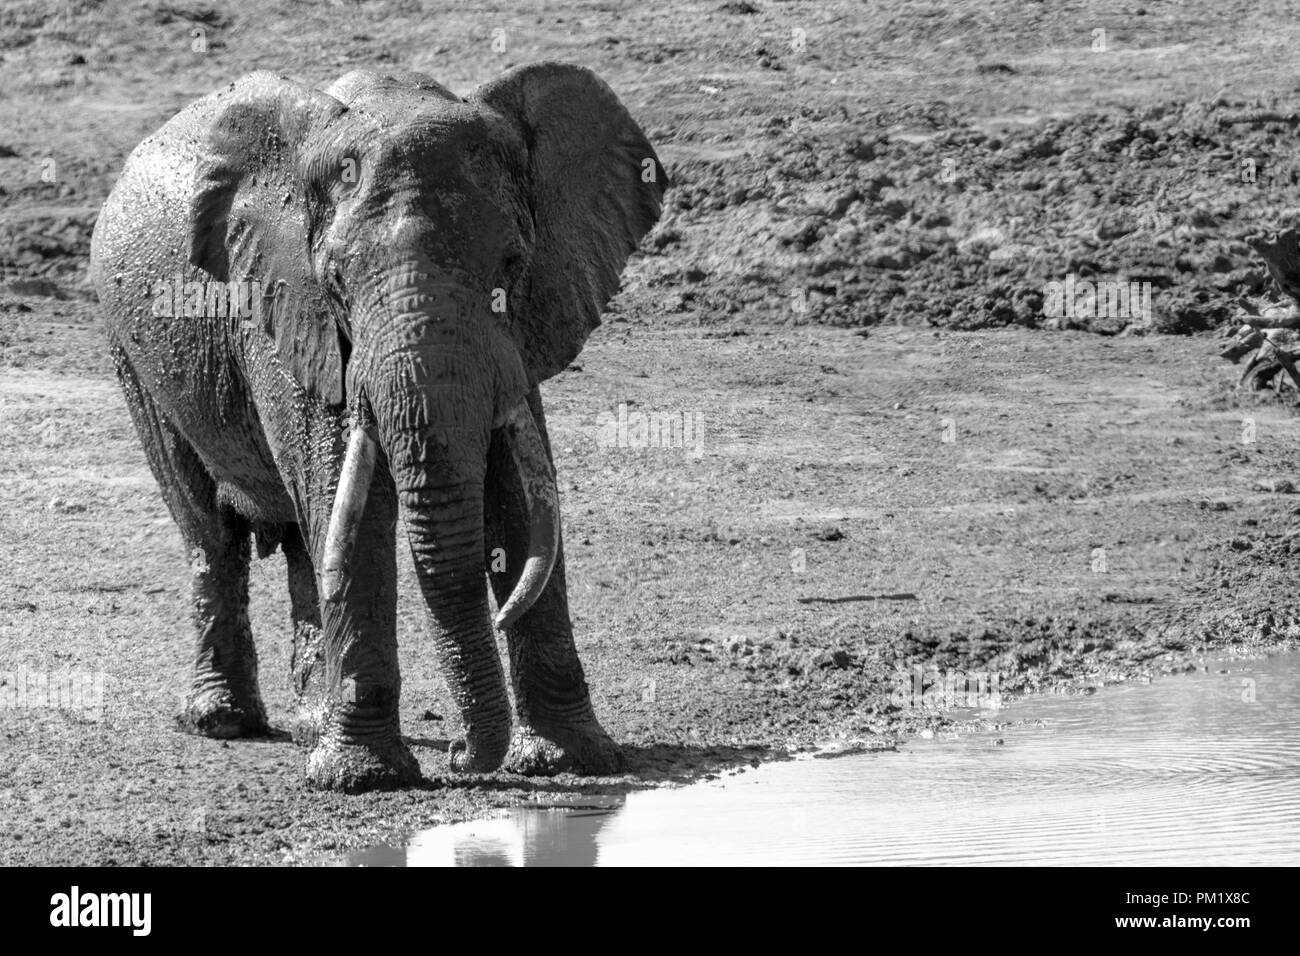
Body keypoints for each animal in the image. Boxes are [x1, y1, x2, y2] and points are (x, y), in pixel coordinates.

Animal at [89, 61, 670, 790]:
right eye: (337, 278)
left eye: (512, 265)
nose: (460, 755)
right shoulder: (288, 314)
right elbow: (355, 514)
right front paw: (362, 778)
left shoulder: (518, 339)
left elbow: (519, 503)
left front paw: (573, 761)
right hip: (132, 353)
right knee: (208, 528)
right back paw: (221, 721)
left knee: (304, 541)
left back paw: (311, 723)